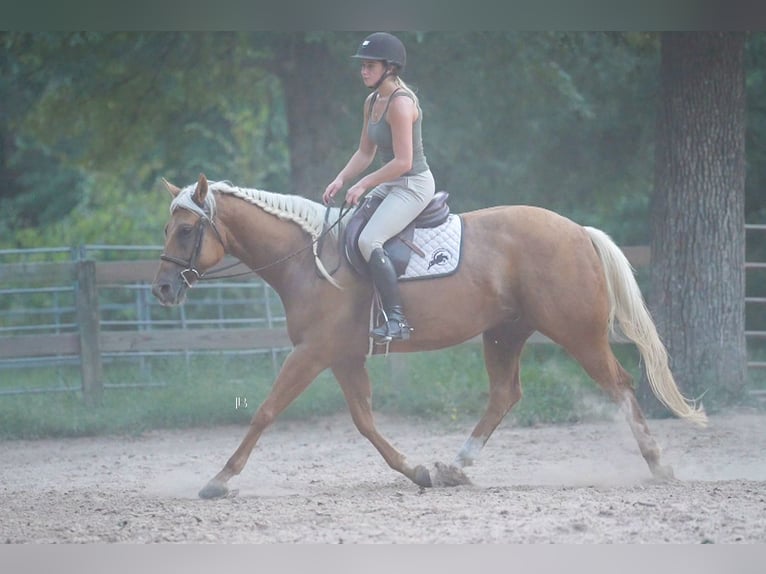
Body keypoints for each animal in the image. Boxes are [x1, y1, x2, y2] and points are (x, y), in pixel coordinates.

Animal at [152, 173, 707, 499]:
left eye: (186, 231)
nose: (161, 289)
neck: (310, 260)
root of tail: (577, 232)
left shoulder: (311, 353)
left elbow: (266, 411)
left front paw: (220, 479)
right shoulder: (343, 357)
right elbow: (365, 422)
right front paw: (416, 470)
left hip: (576, 334)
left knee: (619, 386)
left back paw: (658, 465)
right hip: (504, 333)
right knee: (505, 395)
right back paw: (454, 468)